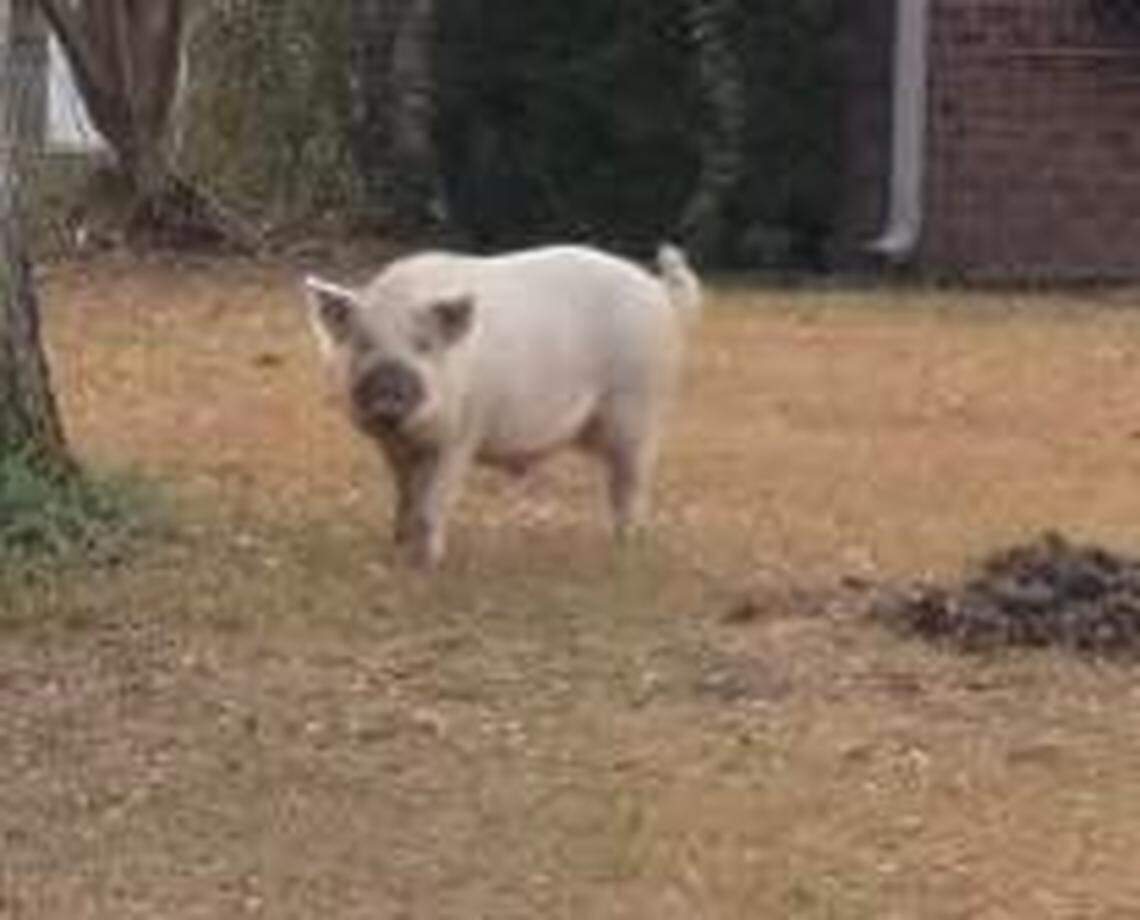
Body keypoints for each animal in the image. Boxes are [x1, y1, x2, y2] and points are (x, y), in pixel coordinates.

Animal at [302, 242, 701, 567]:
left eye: (424, 345)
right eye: (363, 343)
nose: (388, 392)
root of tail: (658, 289)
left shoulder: (460, 436)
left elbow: (432, 503)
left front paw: (425, 565)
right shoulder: (393, 448)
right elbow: (405, 497)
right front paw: (396, 549)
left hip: (640, 406)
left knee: (631, 483)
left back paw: (625, 547)